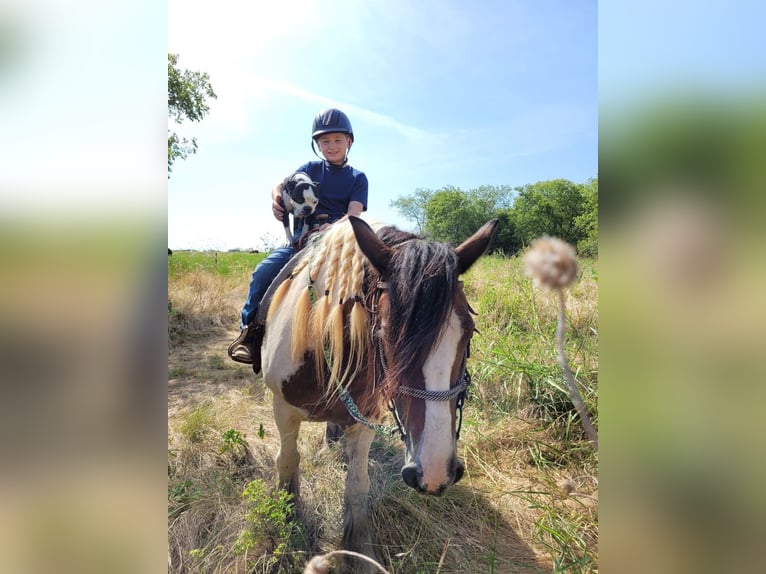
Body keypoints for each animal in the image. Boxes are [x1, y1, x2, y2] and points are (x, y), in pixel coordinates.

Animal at [258, 215, 498, 571]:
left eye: (469, 331)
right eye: (384, 333)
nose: (434, 472)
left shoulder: (366, 417)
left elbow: (358, 484)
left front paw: (361, 552)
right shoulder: (283, 409)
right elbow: (288, 462)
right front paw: (290, 526)